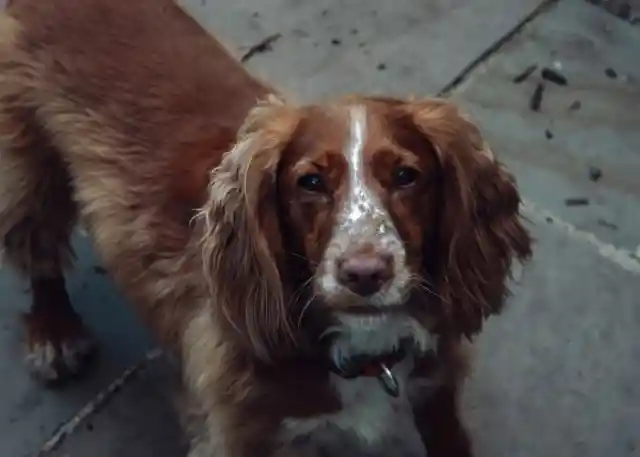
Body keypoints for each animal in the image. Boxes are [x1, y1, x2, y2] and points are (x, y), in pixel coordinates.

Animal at [0, 0, 532, 454]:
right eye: (310, 182)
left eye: (406, 176)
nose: (364, 274)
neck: (361, 350)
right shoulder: (241, 430)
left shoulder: (437, 381)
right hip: (27, 165)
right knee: (37, 247)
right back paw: (55, 333)